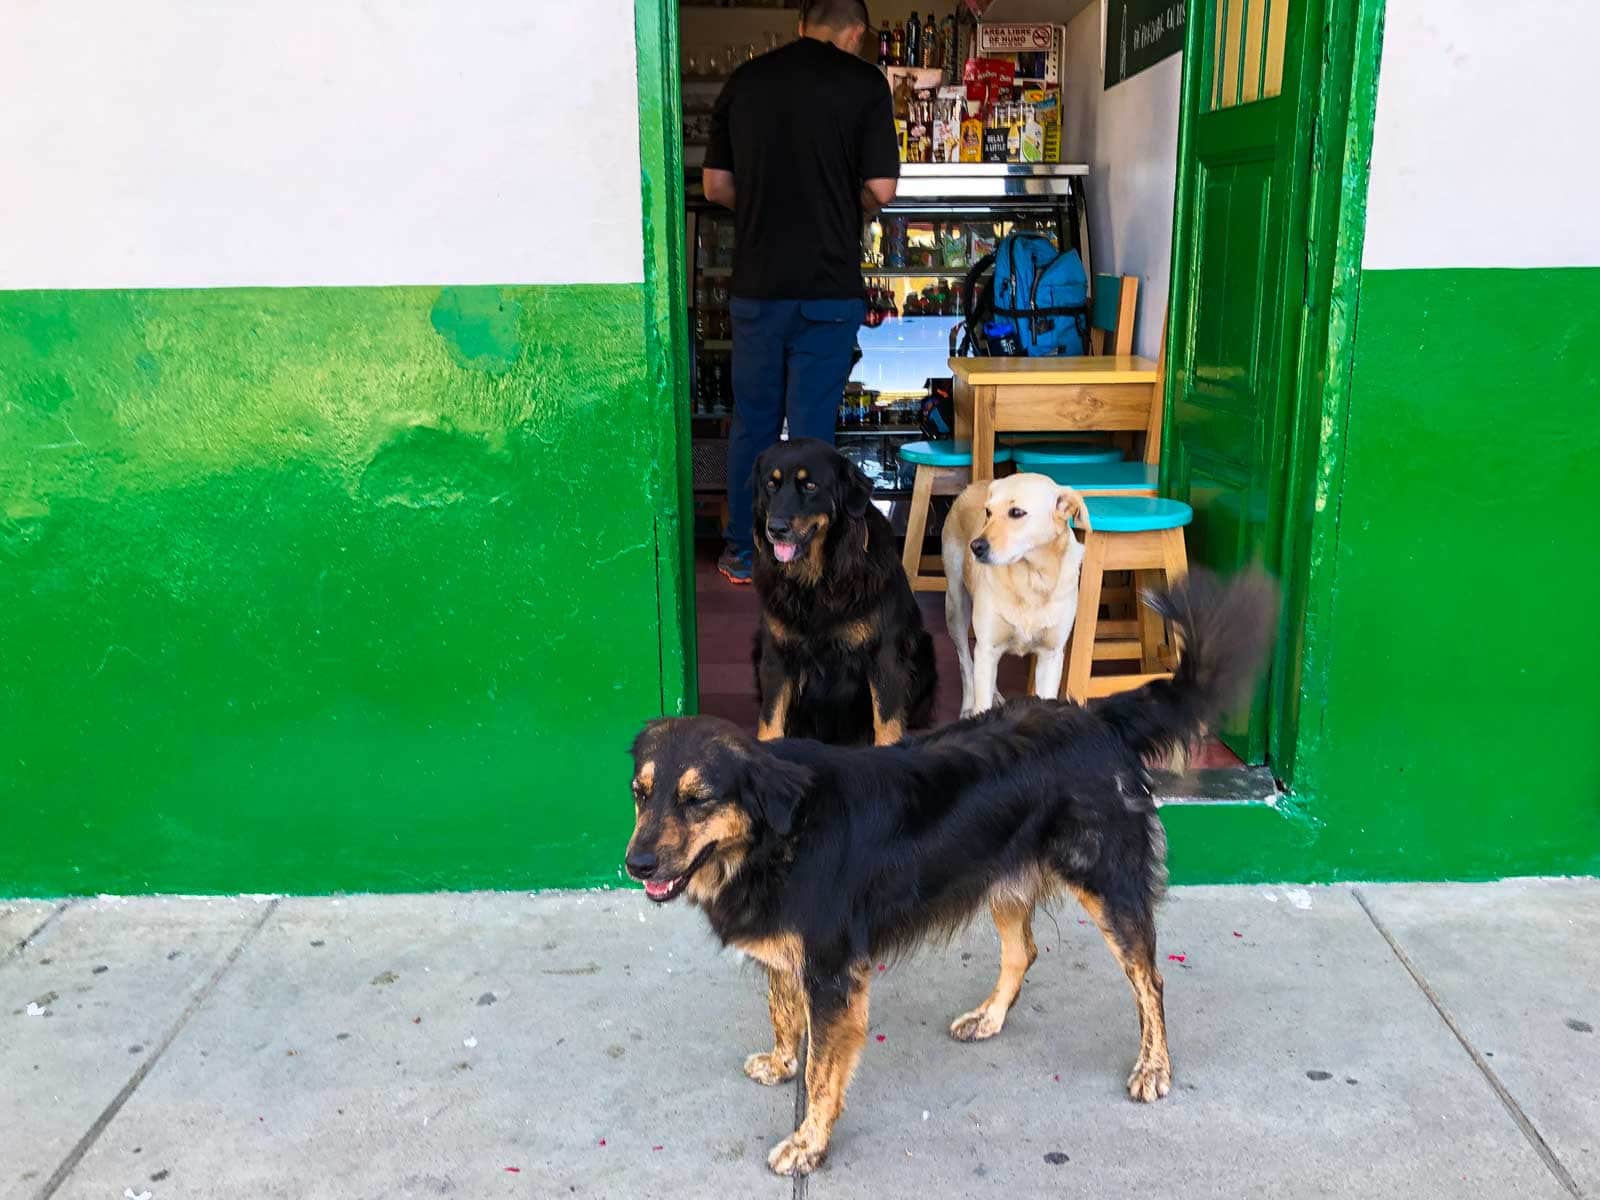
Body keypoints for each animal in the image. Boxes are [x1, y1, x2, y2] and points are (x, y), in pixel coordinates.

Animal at [620, 569, 1273, 1177]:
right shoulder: (789, 953)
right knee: (1024, 950)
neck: (775, 835)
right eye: (640, 793)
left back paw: (1154, 1066)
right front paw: (782, 1063)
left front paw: (808, 1144)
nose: (636, 864)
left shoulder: (833, 976)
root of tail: (1096, 718)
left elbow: (823, 1074)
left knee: (1149, 980)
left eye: (697, 800)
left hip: (1107, 886)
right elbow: (783, 1014)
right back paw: (989, 1017)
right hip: (1003, 878)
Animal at [748, 438, 934, 748]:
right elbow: (770, 719)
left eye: (810, 486)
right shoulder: (776, 654)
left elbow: (886, 722)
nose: (775, 528)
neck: (817, 583)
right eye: (771, 485)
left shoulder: (884, 655)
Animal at [940, 470, 1094, 713]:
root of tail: (973, 485)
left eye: (1016, 513)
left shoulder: (1051, 656)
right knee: (966, 661)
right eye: (988, 512)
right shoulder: (987, 647)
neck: (1032, 580)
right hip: (956, 606)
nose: (975, 546)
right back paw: (968, 705)